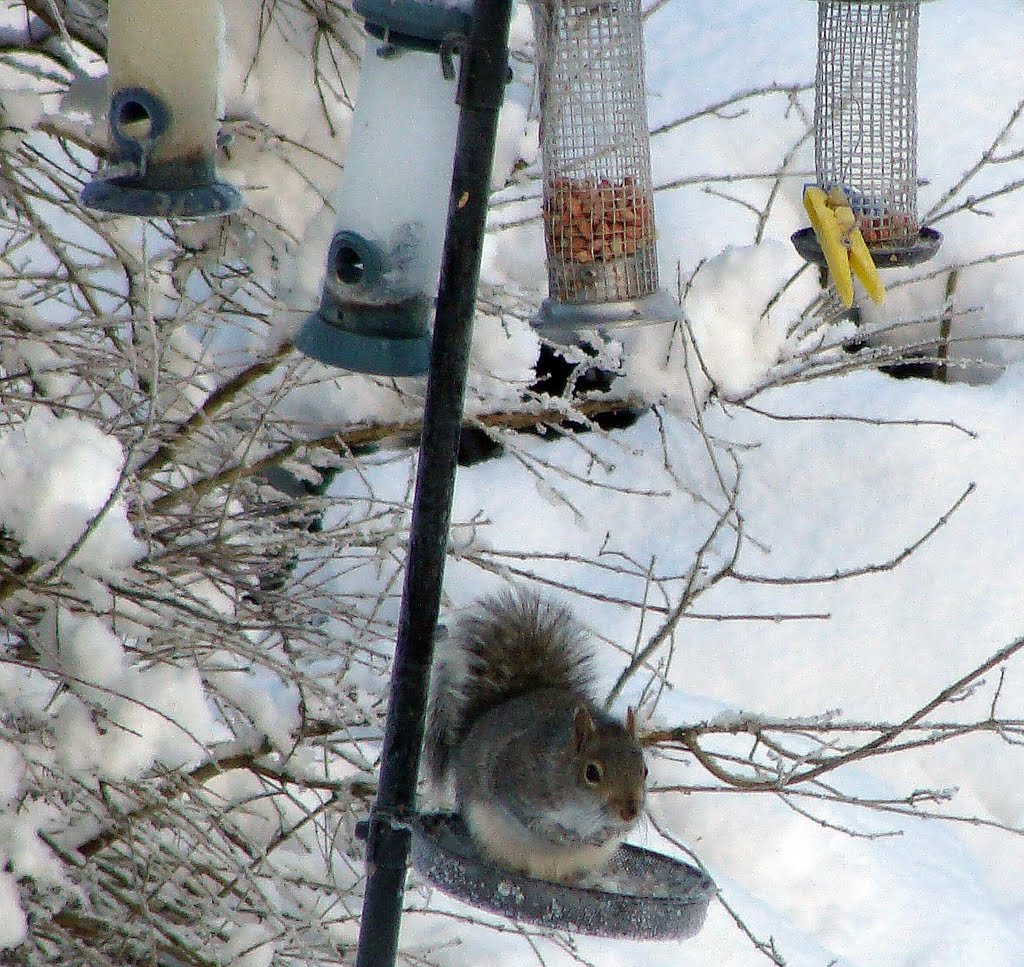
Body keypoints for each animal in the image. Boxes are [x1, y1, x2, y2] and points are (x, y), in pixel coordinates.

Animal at [425, 590, 647, 885]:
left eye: (644, 770)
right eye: (591, 773)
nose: (630, 812)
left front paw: (606, 833)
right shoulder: (516, 775)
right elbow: (529, 817)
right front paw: (561, 834)